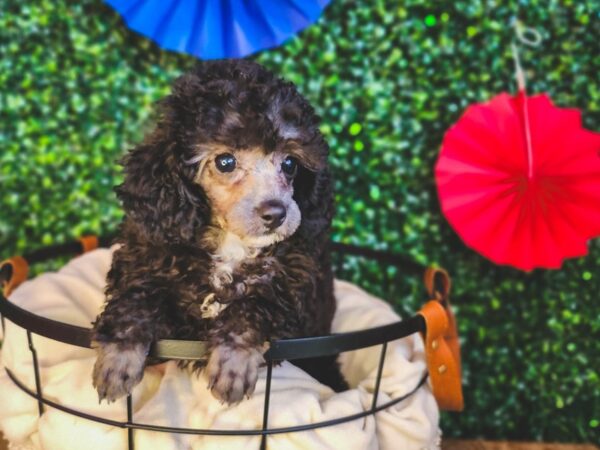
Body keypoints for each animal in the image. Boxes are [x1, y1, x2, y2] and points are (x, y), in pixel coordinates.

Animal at [92, 59, 346, 404]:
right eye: (225, 161)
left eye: (290, 164)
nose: (276, 214)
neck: (231, 243)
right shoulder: (146, 260)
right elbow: (134, 300)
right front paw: (116, 362)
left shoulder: (289, 289)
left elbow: (252, 306)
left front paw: (232, 366)